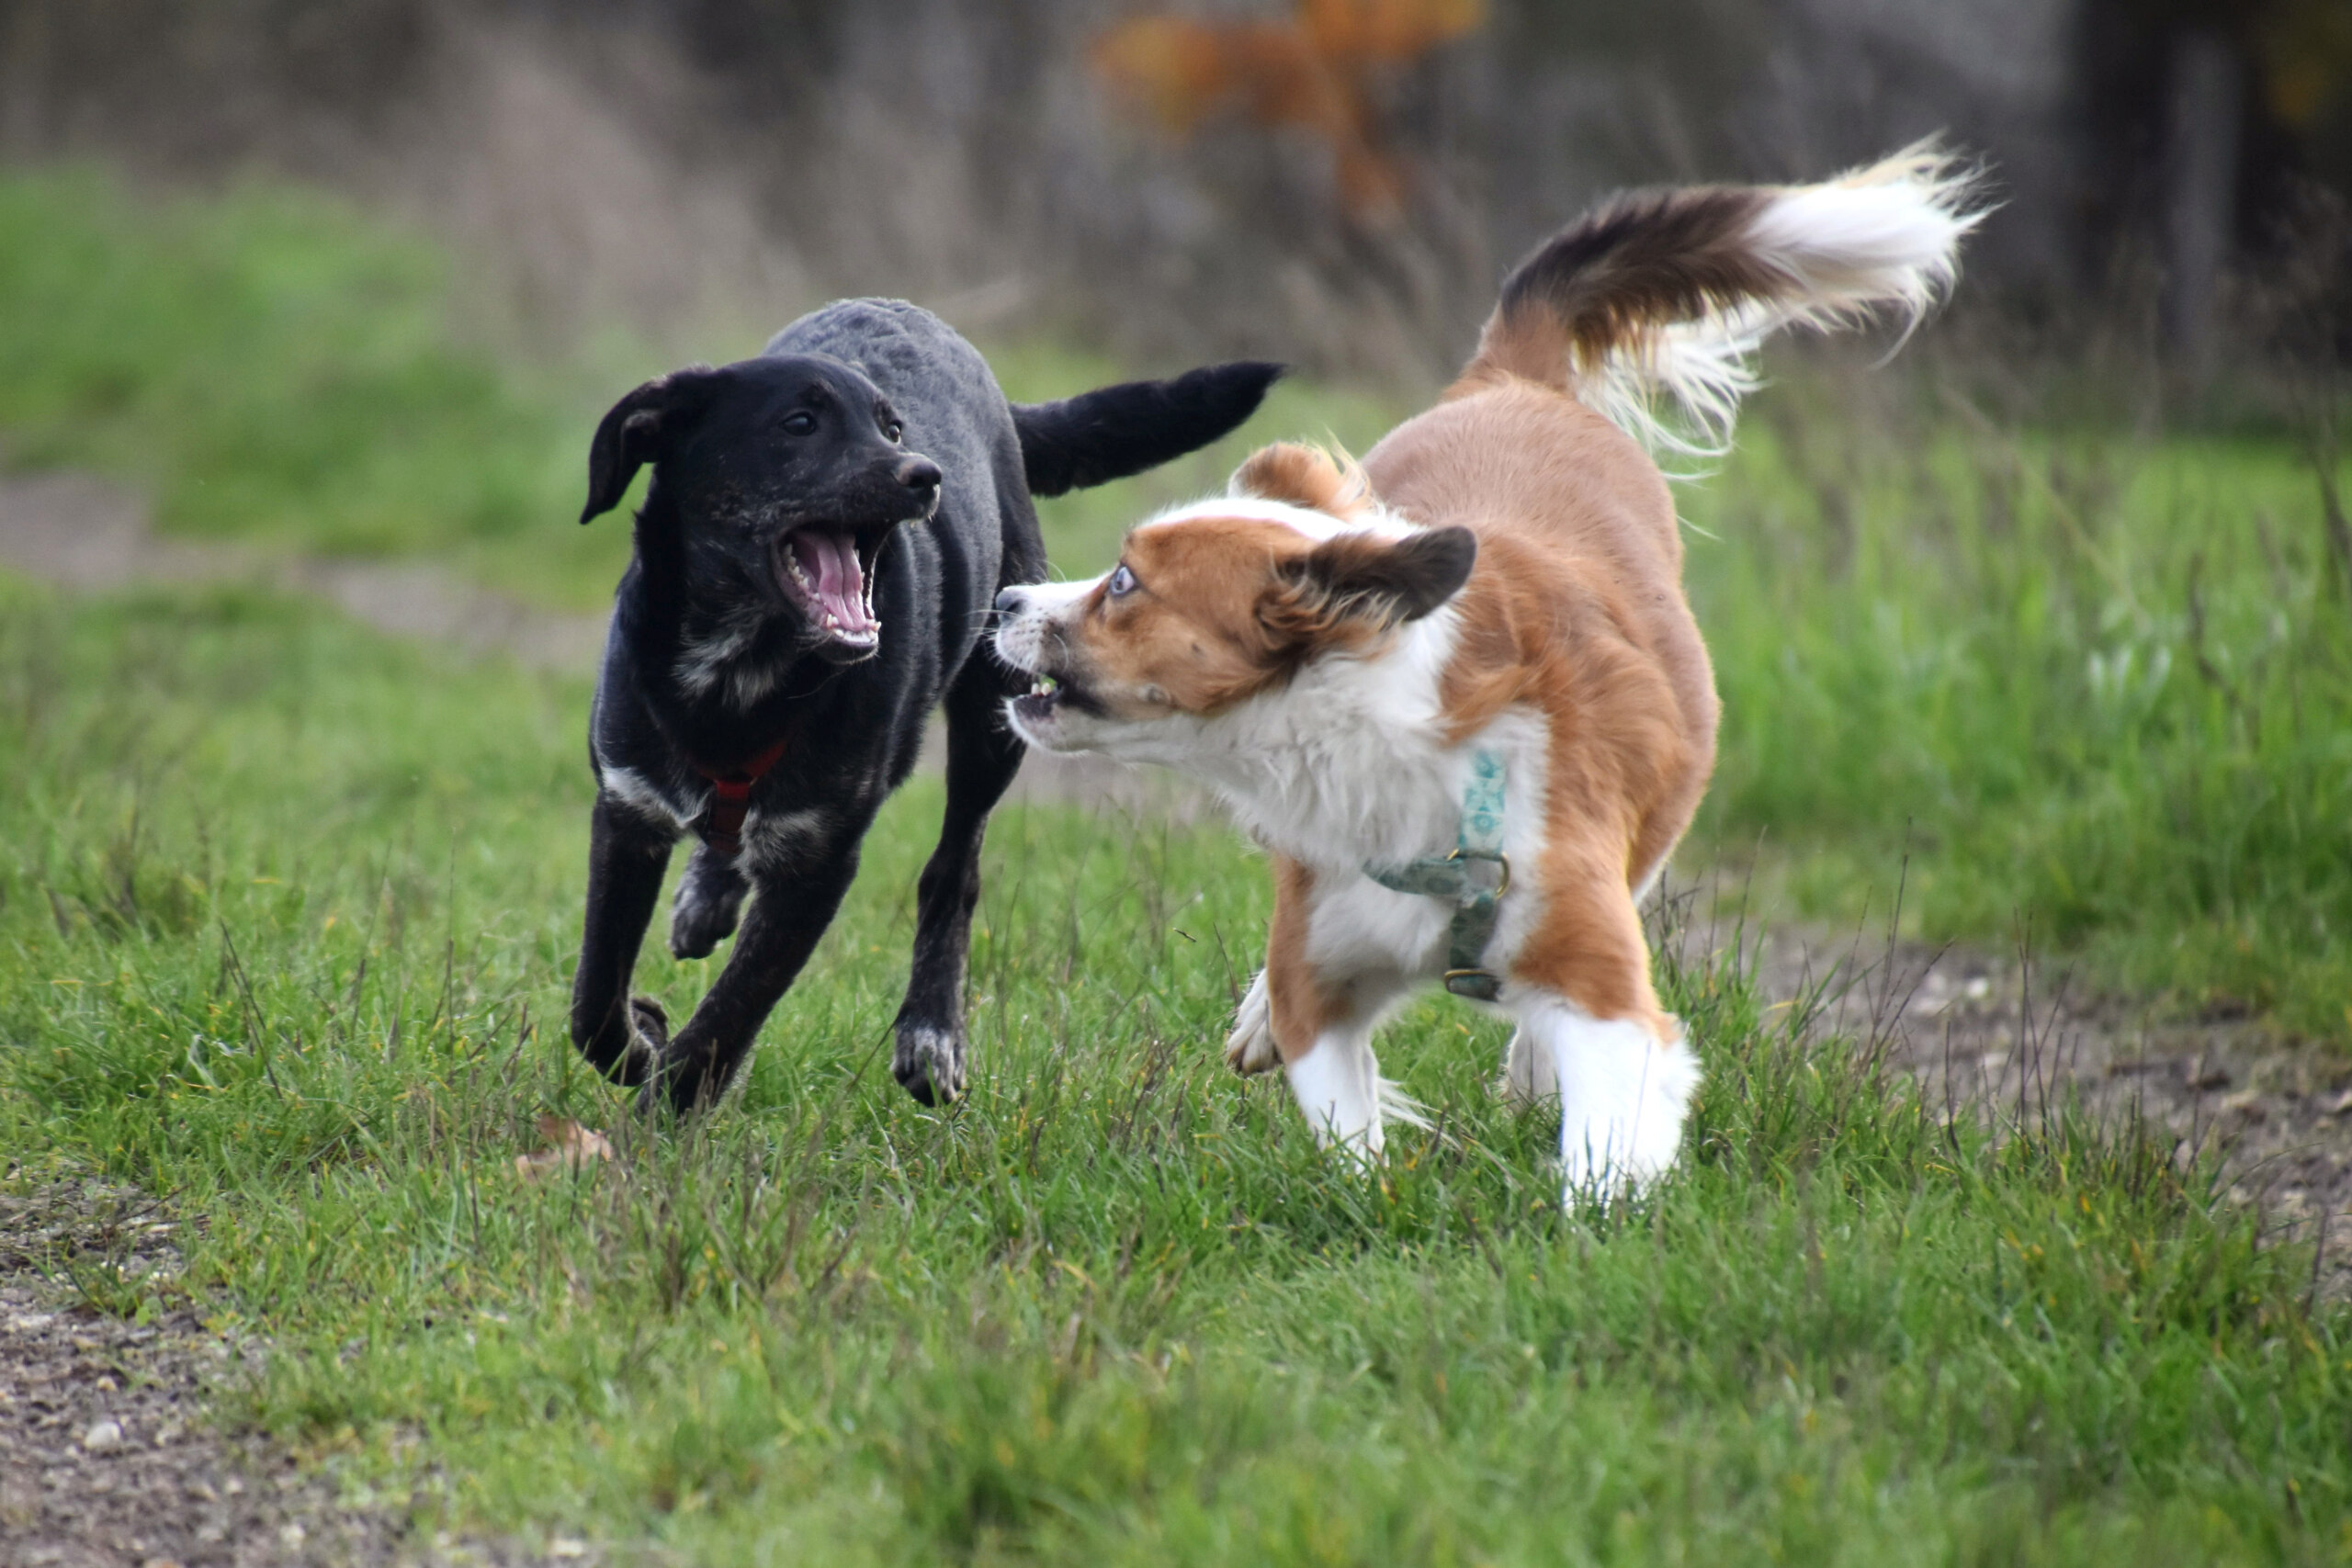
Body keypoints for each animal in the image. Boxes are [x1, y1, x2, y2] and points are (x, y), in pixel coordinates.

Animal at [566, 303, 1279, 1114]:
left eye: (893, 428)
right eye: (800, 422)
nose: (924, 474)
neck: (740, 676)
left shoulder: (821, 862)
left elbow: (732, 1010)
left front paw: (668, 1092)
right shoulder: (627, 811)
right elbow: (594, 999)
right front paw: (640, 1042)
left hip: (993, 717)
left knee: (953, 873)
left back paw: (931, 1033)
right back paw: (708, 896)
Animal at [983, 150, 1975, 1203]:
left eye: (1125, 582)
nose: (1004, 599)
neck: (1384, 747)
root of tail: (1515, 380)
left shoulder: (1594, 971)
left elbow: (1607, 1120)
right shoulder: (1322, 974)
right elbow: (1341, 1119)